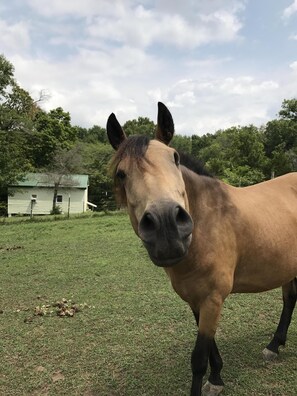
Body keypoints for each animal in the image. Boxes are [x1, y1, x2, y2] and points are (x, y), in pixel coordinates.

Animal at [106, 103, 296, 396]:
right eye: (121, 173)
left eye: (174, 158)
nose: (166, 225)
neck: (208, 223)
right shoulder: (197, 299)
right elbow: (210, 349)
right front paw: (217, 377)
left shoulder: (212, 299)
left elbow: (198, 358)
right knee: (290, 300)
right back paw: (274, 346)